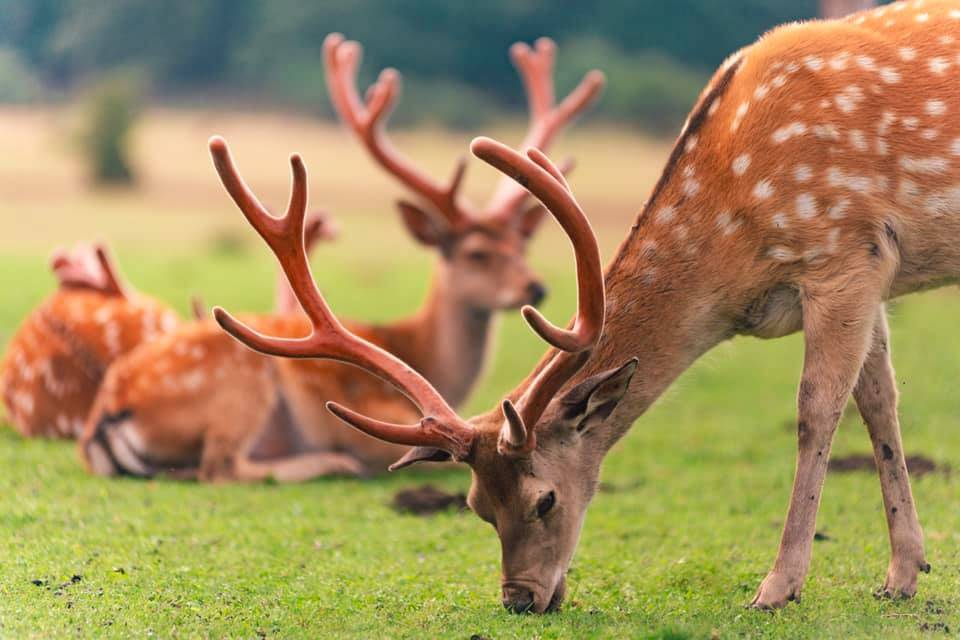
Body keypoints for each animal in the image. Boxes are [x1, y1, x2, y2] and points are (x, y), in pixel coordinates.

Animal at [79, 37, 600, 482]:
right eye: (476, 252)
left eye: (522, 246)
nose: (536, 287)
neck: (426, 358)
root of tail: (105, 415)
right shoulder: (377, 414)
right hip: (241, 383)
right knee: (222, 468)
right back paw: (333, 463)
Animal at [218, 2, 960, 616]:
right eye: (475, 506)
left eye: (544, 498)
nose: (520, 599)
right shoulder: (869, 276)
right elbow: (880, 402)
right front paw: (904, 573)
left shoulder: (842, 253)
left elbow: (816, 412)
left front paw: (778, 586)